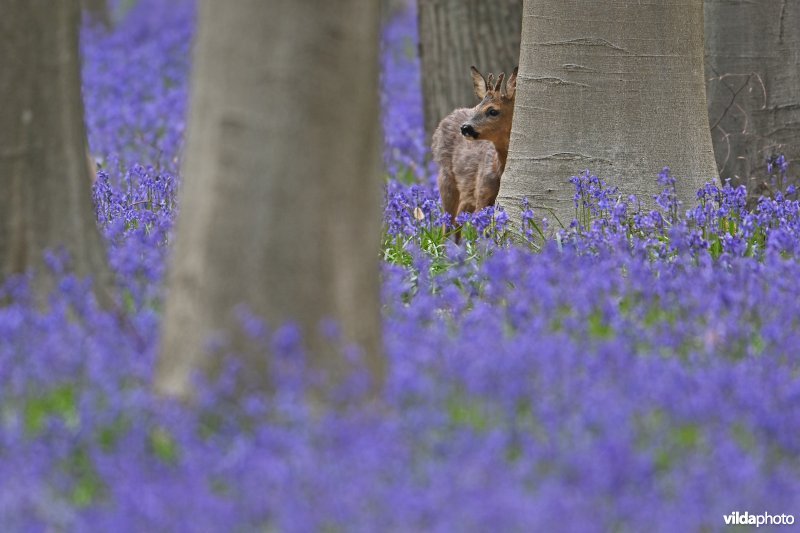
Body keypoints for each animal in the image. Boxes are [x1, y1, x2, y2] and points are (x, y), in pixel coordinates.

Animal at [432, 65, 520, 231]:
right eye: (477, 107)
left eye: (493, 111)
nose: (465, 127)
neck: (498, 171)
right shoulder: (482, 191)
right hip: (446, 177)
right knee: (448, 223)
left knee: (458, 220)